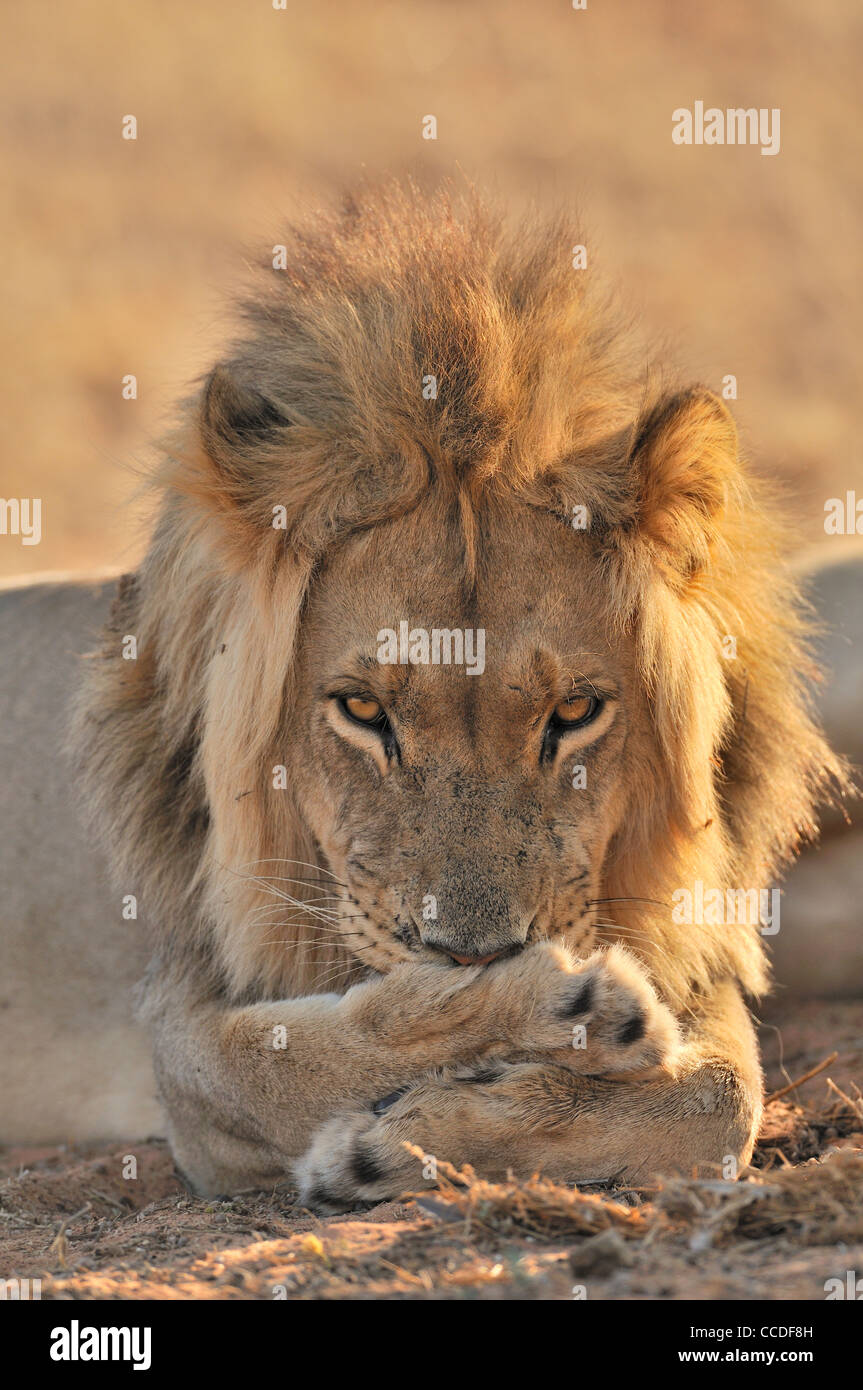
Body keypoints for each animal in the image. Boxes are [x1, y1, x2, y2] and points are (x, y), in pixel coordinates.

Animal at [5, 182, 850, 1206]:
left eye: (574, 714)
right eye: (364, 711)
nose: (476, 953)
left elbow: (720, 1098)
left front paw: (414, 1136)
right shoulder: (180, 1037)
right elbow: (304, 1057)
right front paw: (556, 1012)